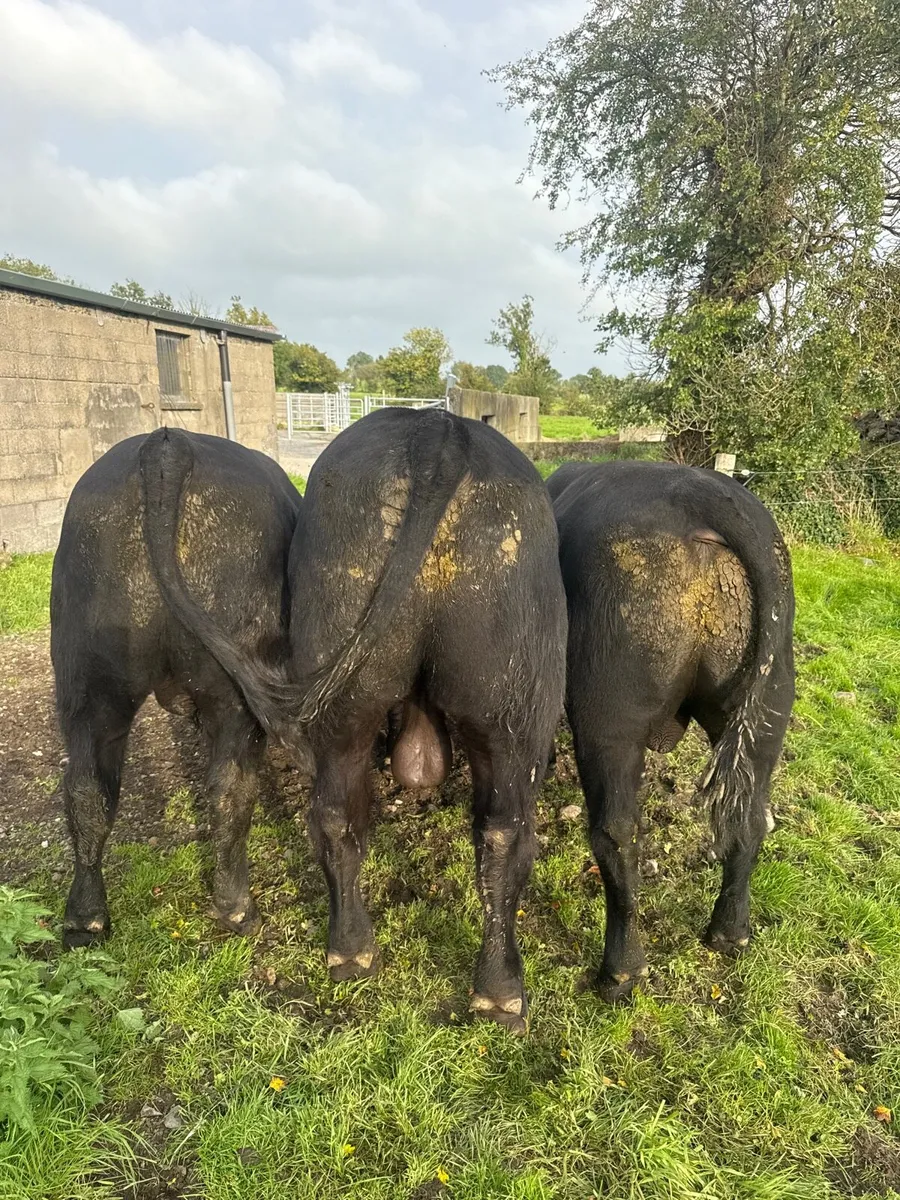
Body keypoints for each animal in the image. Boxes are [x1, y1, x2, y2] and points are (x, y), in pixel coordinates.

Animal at [51, 428, 301, 950]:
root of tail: (167, 443)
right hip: (231, 694)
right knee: (229, 789)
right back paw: (236, 908)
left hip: (87, 679)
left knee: (86, 789)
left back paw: (85, 919)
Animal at [148, 407, 567, 1032]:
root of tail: (437, 432)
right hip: (515, 707)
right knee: (506, 833)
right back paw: (499, 991)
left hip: (378, 694)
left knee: (339, 816)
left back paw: (354, 951)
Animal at [548, 460, 795, 1003]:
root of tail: (706, 497)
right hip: (766, 708)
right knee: (752, 819)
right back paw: (729, 933)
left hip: (609, 716)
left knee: (617, 833)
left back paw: (620, 973)